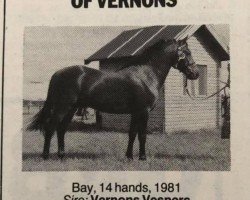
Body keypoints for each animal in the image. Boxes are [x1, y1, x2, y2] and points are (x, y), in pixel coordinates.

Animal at [27, 36, 199, 161]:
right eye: (187, 52)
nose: (195, 73)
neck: (146, 74)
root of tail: (57, 74)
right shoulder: (143, 112)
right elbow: (142, 135)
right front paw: (142, 157)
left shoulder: (135, 112)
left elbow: (132, 134)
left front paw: (129, 157)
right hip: (63, 107)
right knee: (51, 128)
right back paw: (46, 156)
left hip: (71, 108)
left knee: (61, 129)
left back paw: (61, 155)